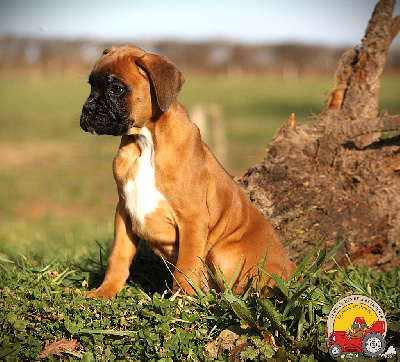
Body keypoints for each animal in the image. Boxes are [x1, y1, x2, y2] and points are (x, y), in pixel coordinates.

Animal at [79, 46, 296, 300]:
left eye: (116, 88)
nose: (87, 109)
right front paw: (105, 291)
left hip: (222, 252)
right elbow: (118, 257)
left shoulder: (192, 220)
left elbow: (187, 264)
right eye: (91, 85)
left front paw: (180, 299)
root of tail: (293, 269)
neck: (146, 141)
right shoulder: (124, 212)